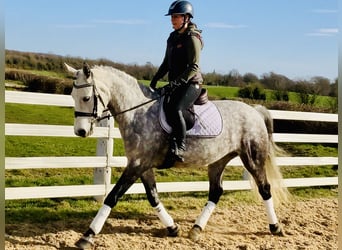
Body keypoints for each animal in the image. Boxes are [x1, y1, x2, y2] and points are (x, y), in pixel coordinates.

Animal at [65, 62, 288, 248]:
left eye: (86, 98)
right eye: (73, 97)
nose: (81, 132)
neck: (138, 113)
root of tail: (255, 111)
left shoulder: (137, 165)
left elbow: (112, 196)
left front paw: (87, 235)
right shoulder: (142, 165)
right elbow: (153, 196)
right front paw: (173, 228)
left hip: (253, 158)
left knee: (264, 188)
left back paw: (275, 227)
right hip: (218, 160)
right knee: (216, 192)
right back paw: (196, 229)